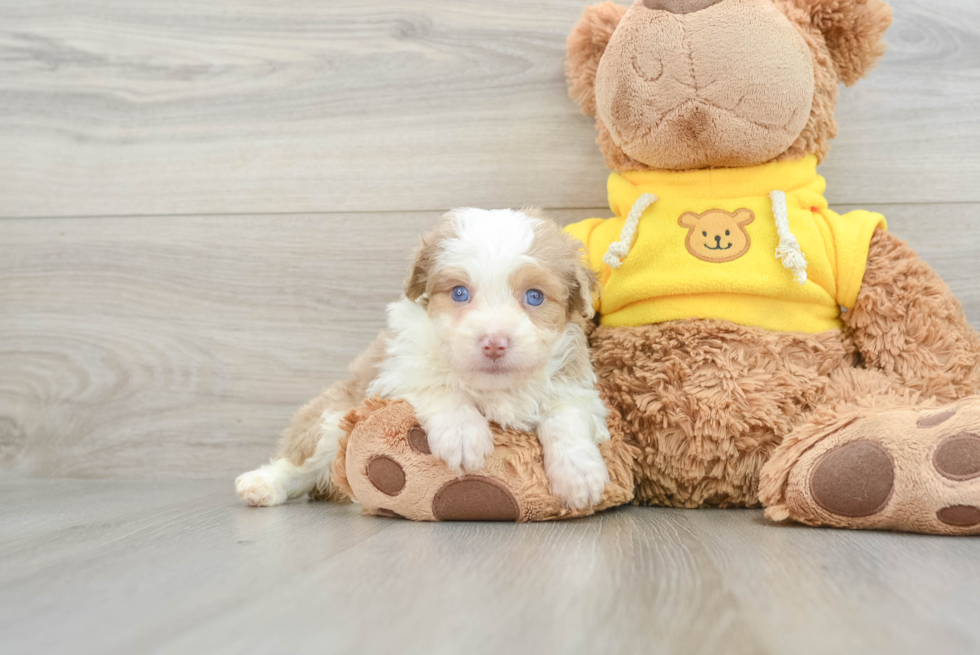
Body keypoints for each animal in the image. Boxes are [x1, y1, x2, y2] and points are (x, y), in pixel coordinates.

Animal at [234, 210, 608, 512]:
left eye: (534, 297)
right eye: (459, 293)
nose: (494, 343)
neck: (494, 388)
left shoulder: (575, 385)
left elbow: (565, 414)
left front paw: (580, 474)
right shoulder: (394, 372)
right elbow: (439, 385)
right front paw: (463, 435)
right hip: (333, 417)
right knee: (300, 461)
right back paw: (262, 485)